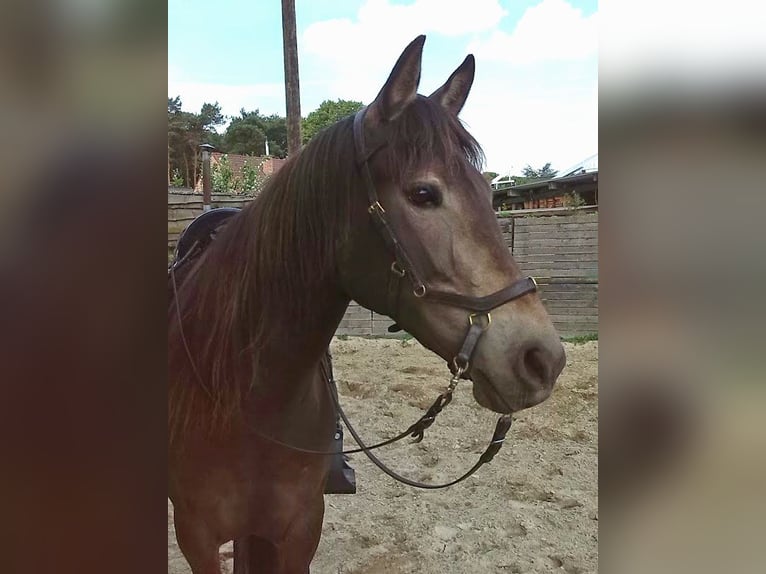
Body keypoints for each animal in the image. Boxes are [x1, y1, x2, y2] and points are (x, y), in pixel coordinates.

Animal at [169, 35, 566, 574]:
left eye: (488, 192)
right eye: (423, 193)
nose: (543, 358)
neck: (249, 398)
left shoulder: (297, 530)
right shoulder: (197, 534)